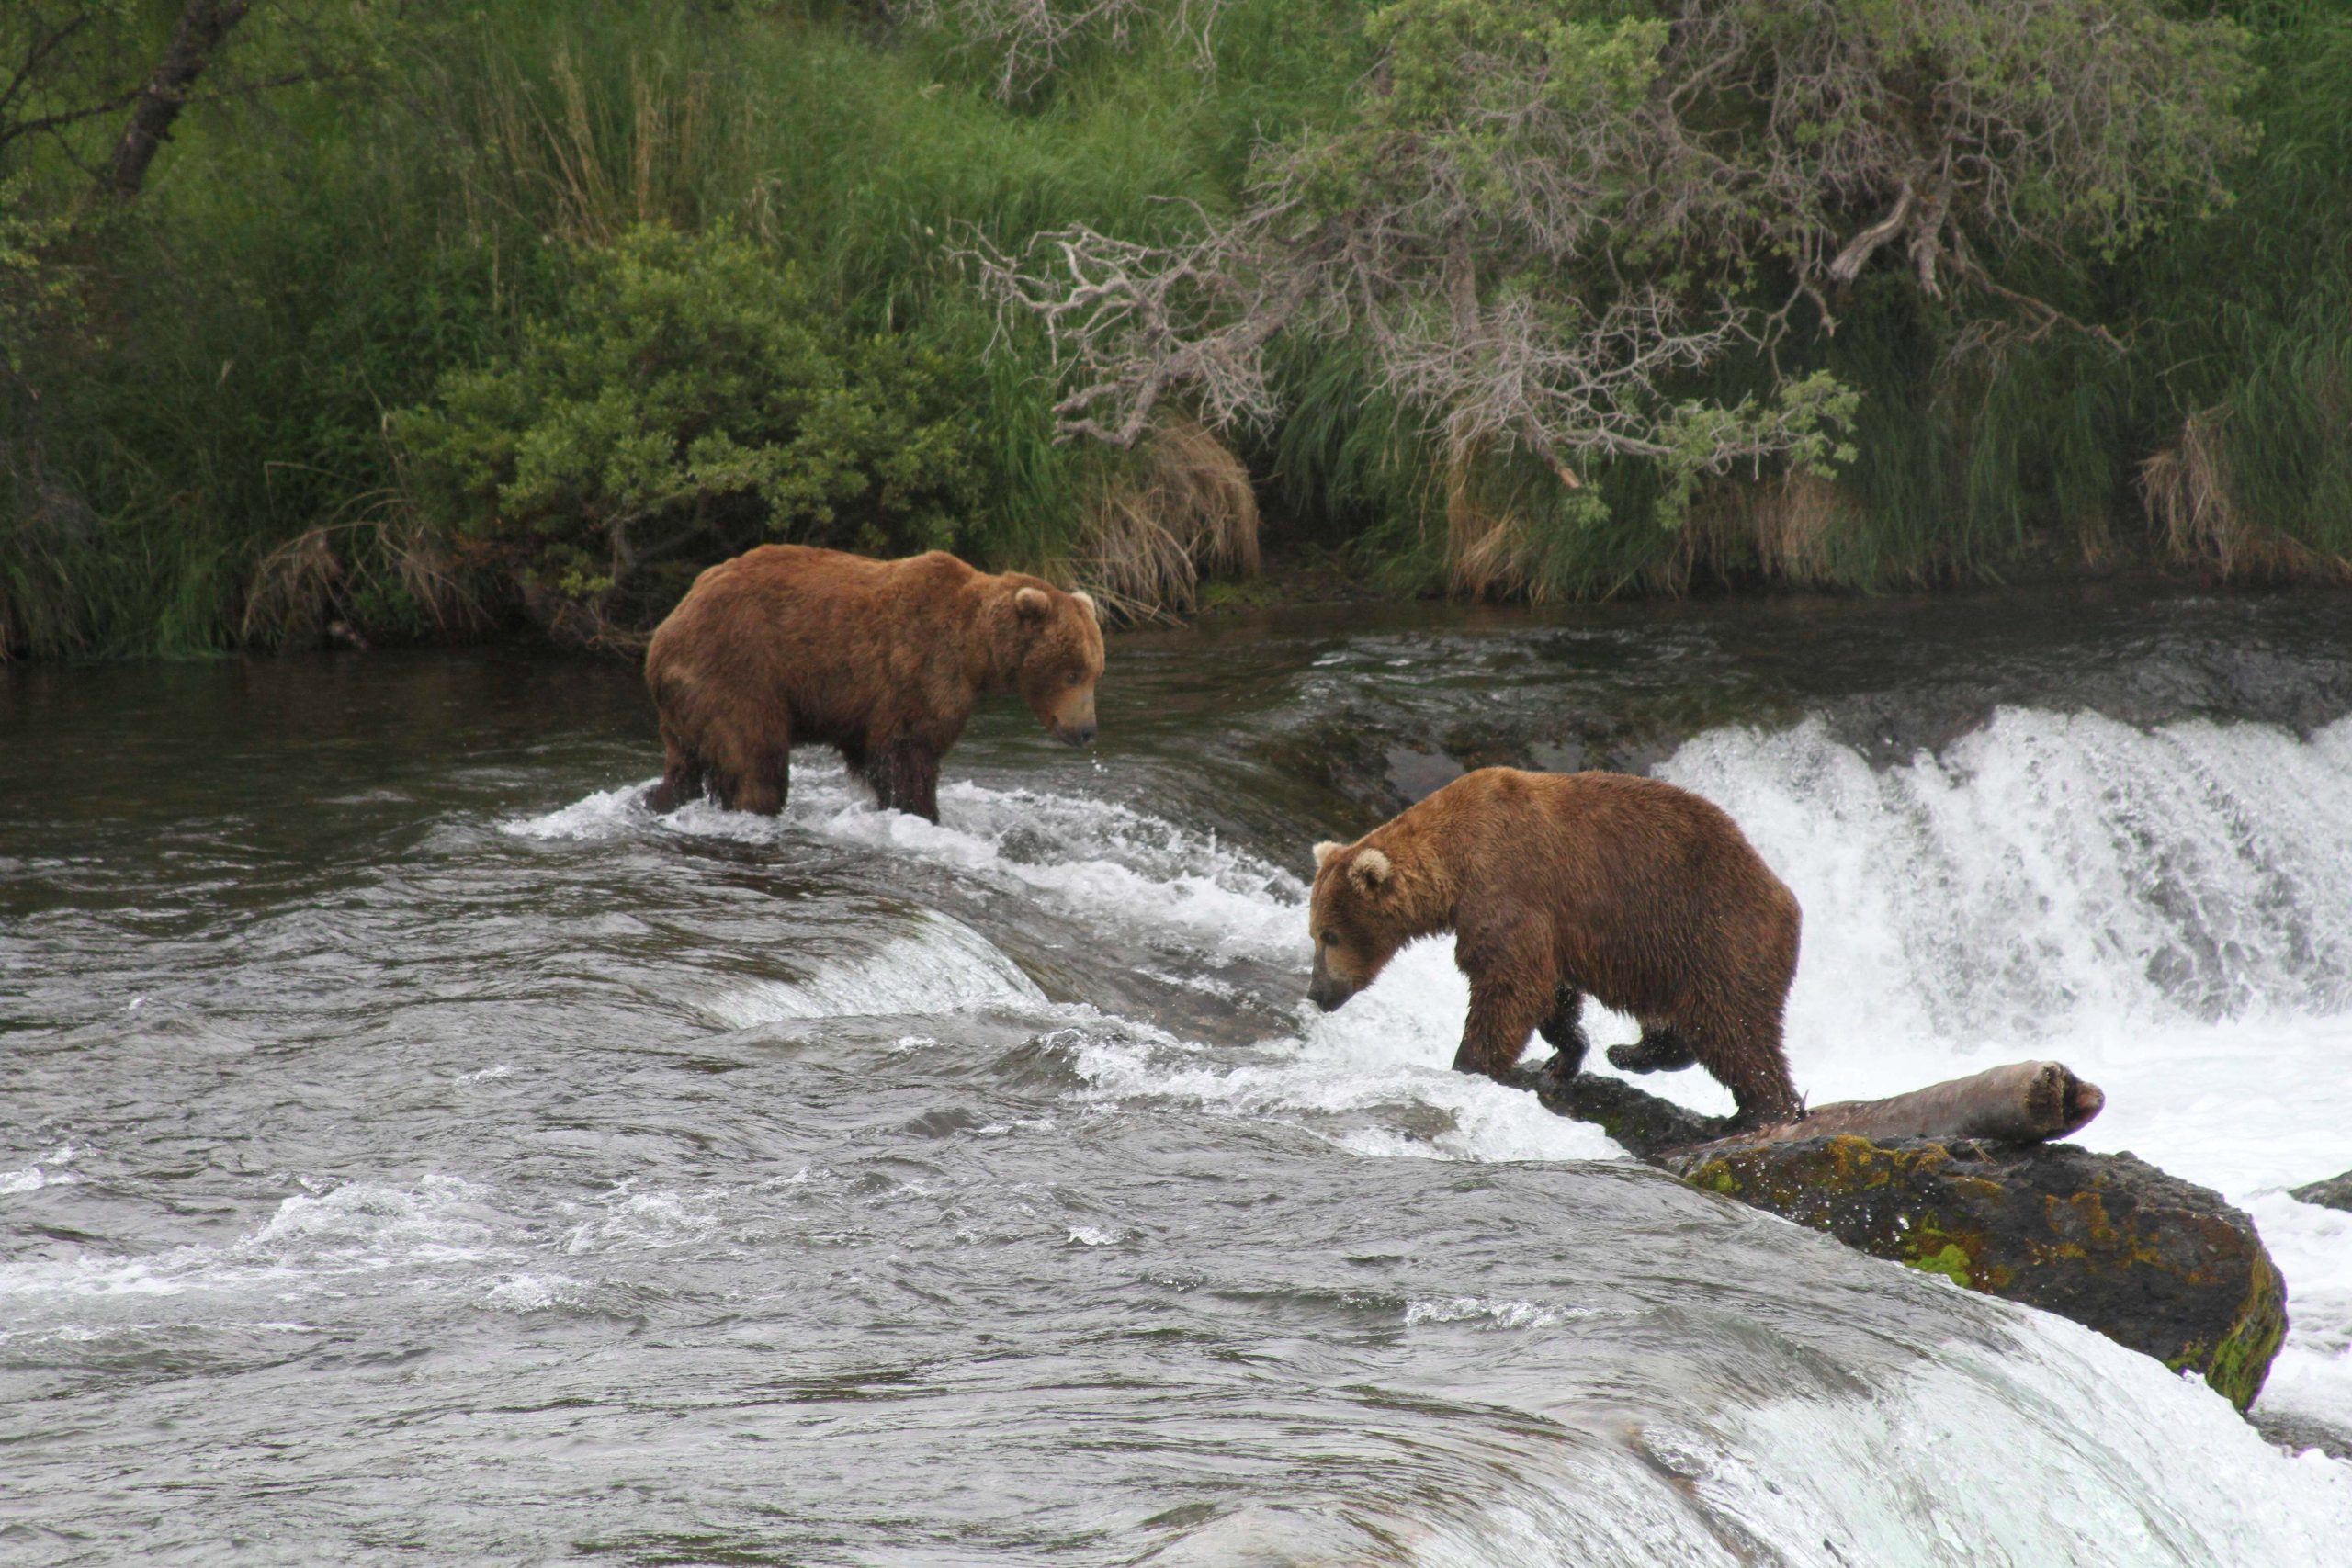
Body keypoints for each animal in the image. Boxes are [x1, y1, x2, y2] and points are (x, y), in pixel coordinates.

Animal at [642, 544, 1104, 824]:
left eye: (1095, 672)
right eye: (1072, 672)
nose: (1086, 730)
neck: (977, 650)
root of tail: (663, 634)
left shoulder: (864, 706)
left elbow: (875, 753)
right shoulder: (920, 668)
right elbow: (907, 752)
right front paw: (922, 812)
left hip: (689, 702)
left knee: (686, 765)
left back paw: (656, 799)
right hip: (738, 670)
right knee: (756, 757)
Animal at [1305, 767, 1804, 1128]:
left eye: (1330, 935)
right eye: (1314, 933)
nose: (1316, 993)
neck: (1456, 863)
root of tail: (1786, 896)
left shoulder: (1509, 885)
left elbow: (1510, 984)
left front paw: (1469, 1064)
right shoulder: (1549, 924)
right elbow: (1551, 993)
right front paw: (1564, 1055)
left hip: (1714, 935)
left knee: (1733, 1028)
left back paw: (1760, 1110)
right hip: (1668, 958)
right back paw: (1632, 1052)